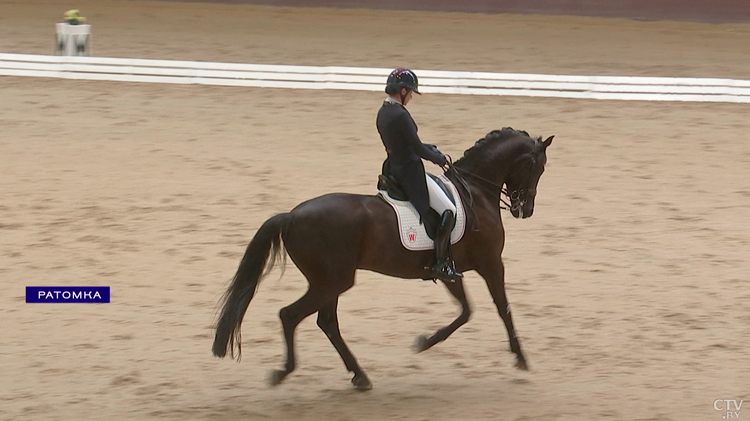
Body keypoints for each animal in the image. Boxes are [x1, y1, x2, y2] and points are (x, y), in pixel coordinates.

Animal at [212, 127, 552, 390]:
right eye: (538, 168)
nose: (525, 209)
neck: (476, 191)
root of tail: (291, 216)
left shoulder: (448, 269)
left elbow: (465, 311)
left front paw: (425, 342)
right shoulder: (491, 263)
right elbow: (502, 308)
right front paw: (521, 357)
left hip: (329, 282)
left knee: (326, 322)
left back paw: (360, 376)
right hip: (332, 281)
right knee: (291, 316)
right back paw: (285, 372)